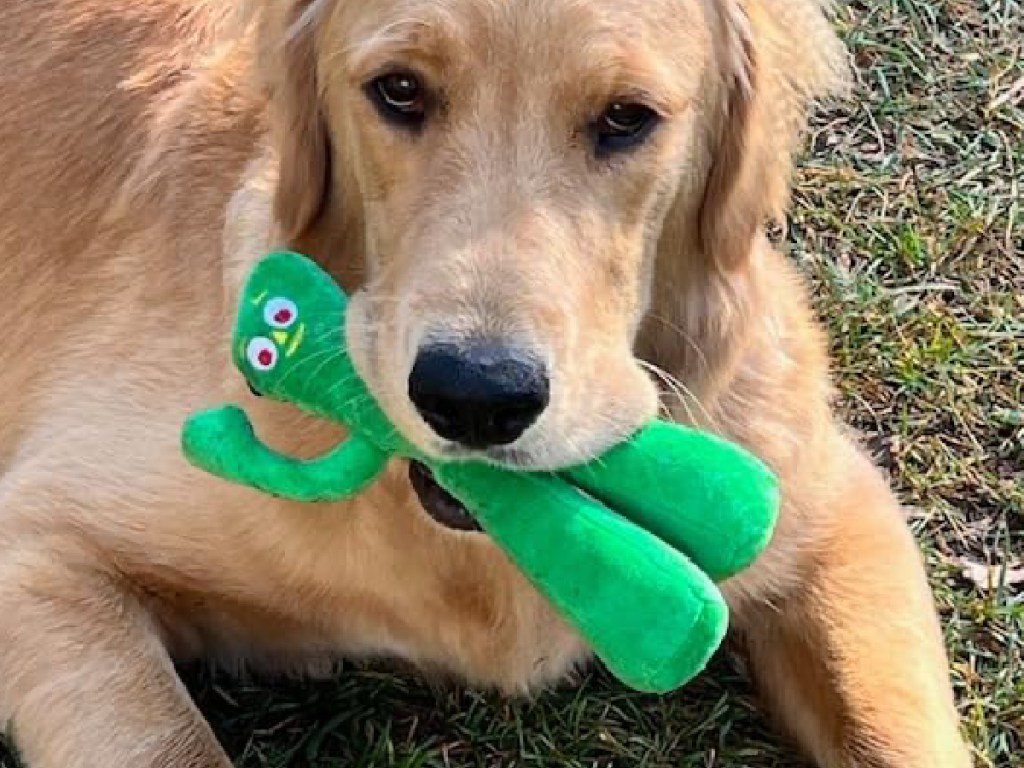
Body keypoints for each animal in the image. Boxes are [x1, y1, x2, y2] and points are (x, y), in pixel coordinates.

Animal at [0, 0, 974, 765]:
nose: (474, 395)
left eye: (626, 117)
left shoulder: (834, 508)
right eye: (399, 91)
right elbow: (165, 742)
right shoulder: (42, 543)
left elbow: (896, 737)